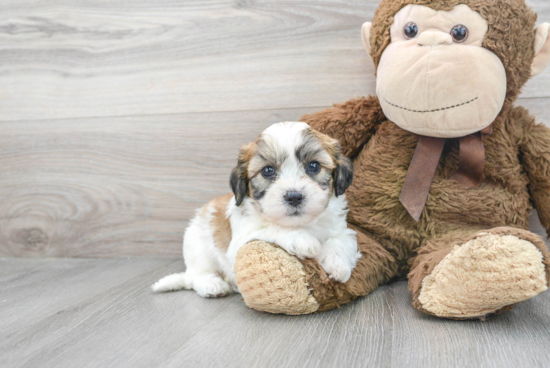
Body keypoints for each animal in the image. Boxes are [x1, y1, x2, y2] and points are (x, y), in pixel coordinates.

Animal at [154, 122, 362, 298]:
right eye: (267, 170)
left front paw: (338, 264)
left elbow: (341, 240)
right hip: (197, 245)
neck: (302, 223)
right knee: (197, 274)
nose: (294, 196)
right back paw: (212, 285)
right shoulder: (241, 239)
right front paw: (302, 240)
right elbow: (270, 228)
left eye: (314, 166)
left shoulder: (341, 229)